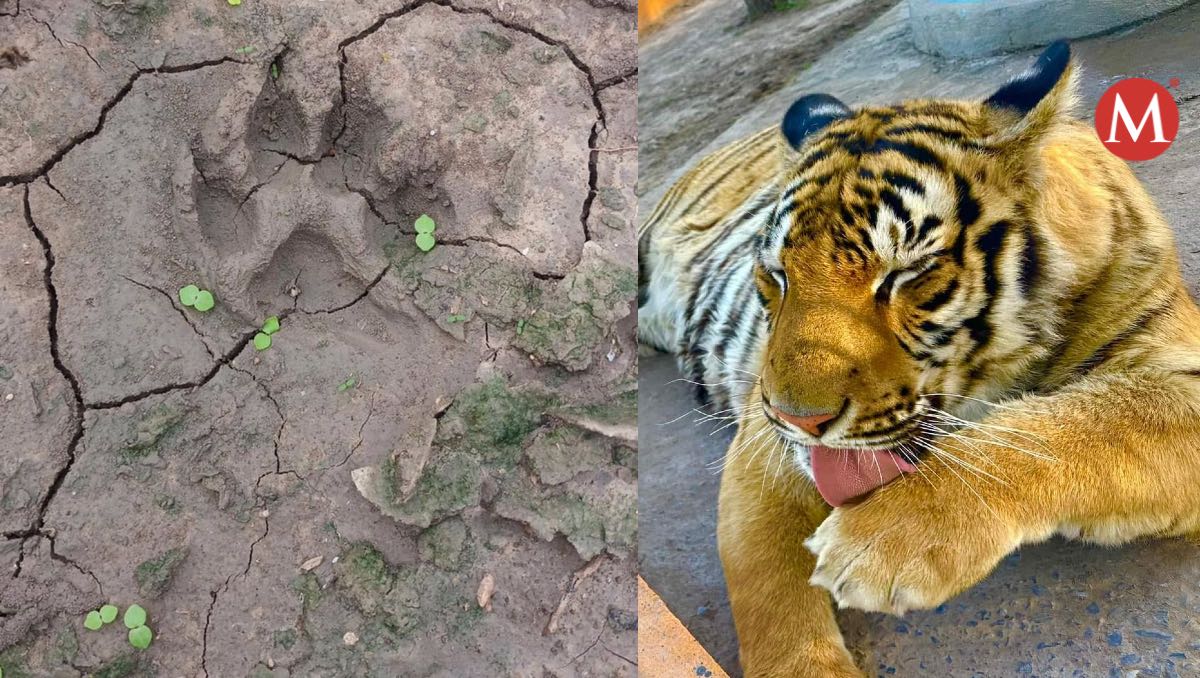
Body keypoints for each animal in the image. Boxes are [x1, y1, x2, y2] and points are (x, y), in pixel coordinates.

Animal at [638, 41, 1200, 677]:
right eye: (777, 275)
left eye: (907, 274)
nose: (798, 419)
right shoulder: (763, 437)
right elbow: (769, 586)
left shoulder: (1176, 375)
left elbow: (1070, 427)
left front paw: (880, 540)